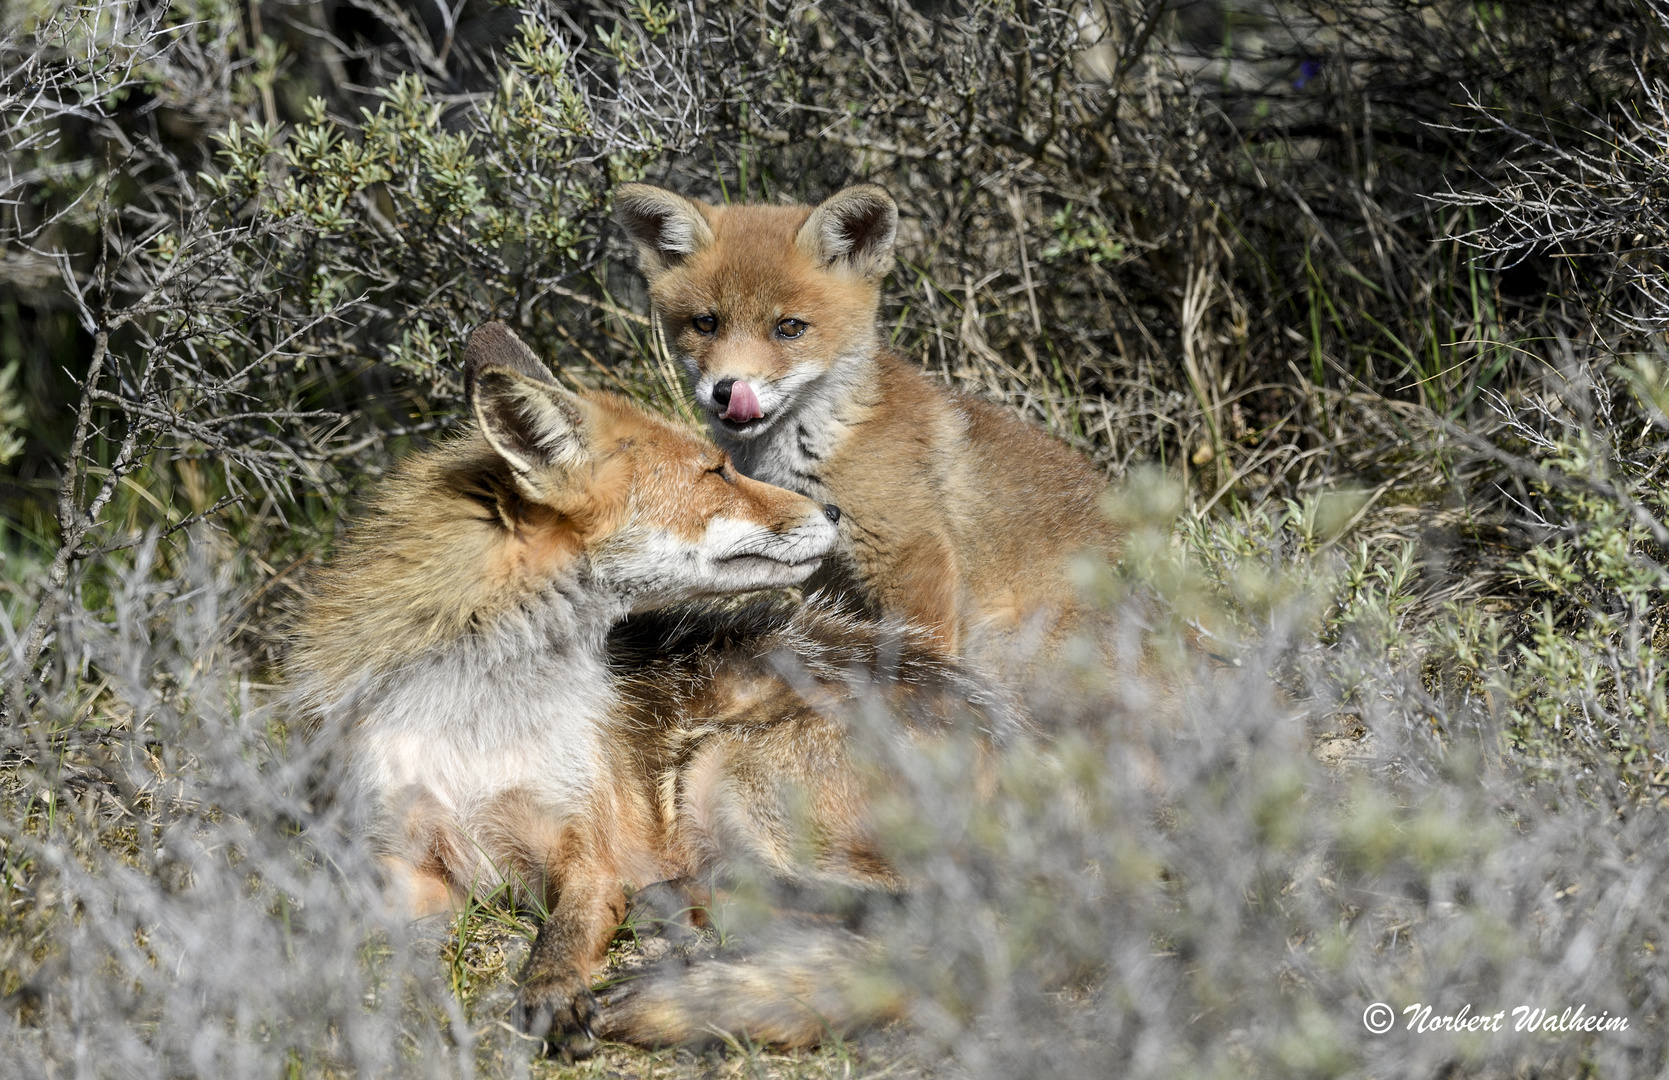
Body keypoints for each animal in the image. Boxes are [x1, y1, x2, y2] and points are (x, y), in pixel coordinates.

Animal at [287, 323, 1014, 1054]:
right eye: (716, 472)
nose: (834, 509)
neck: (479, 722)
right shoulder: (401, 863)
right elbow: (356, 941)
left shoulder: (586, 855)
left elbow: (559, 936)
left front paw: (553, 992)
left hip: (725, 767)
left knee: (896, 907)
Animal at [614, 183, 1121, 667]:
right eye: (705, 324)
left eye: (790, 328)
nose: (727, 391)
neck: (826, 443)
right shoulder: (830, 573)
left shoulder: (910, 555)